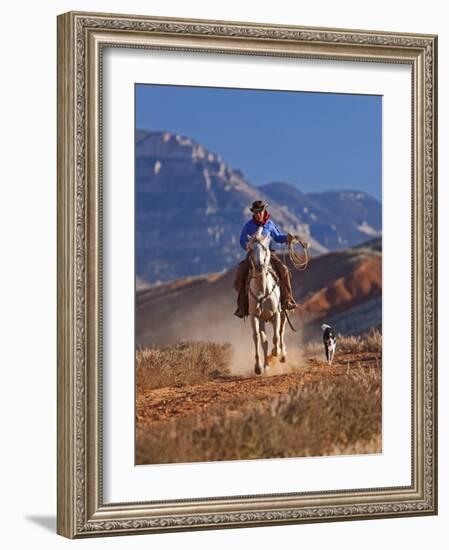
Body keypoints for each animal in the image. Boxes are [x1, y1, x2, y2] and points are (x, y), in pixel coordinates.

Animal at [245, 227, 288, 376]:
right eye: (251, 249)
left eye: (264, 248)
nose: (259, 265)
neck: (263, 290)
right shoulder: (254, 316)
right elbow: (257, 338)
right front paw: (258, 367)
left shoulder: (276, 314)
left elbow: (276, 336)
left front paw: (276, 352)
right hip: (263, 320)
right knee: (264, 341)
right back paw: (266, 365)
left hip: (283, 313)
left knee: (281, 332)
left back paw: (282, 355)